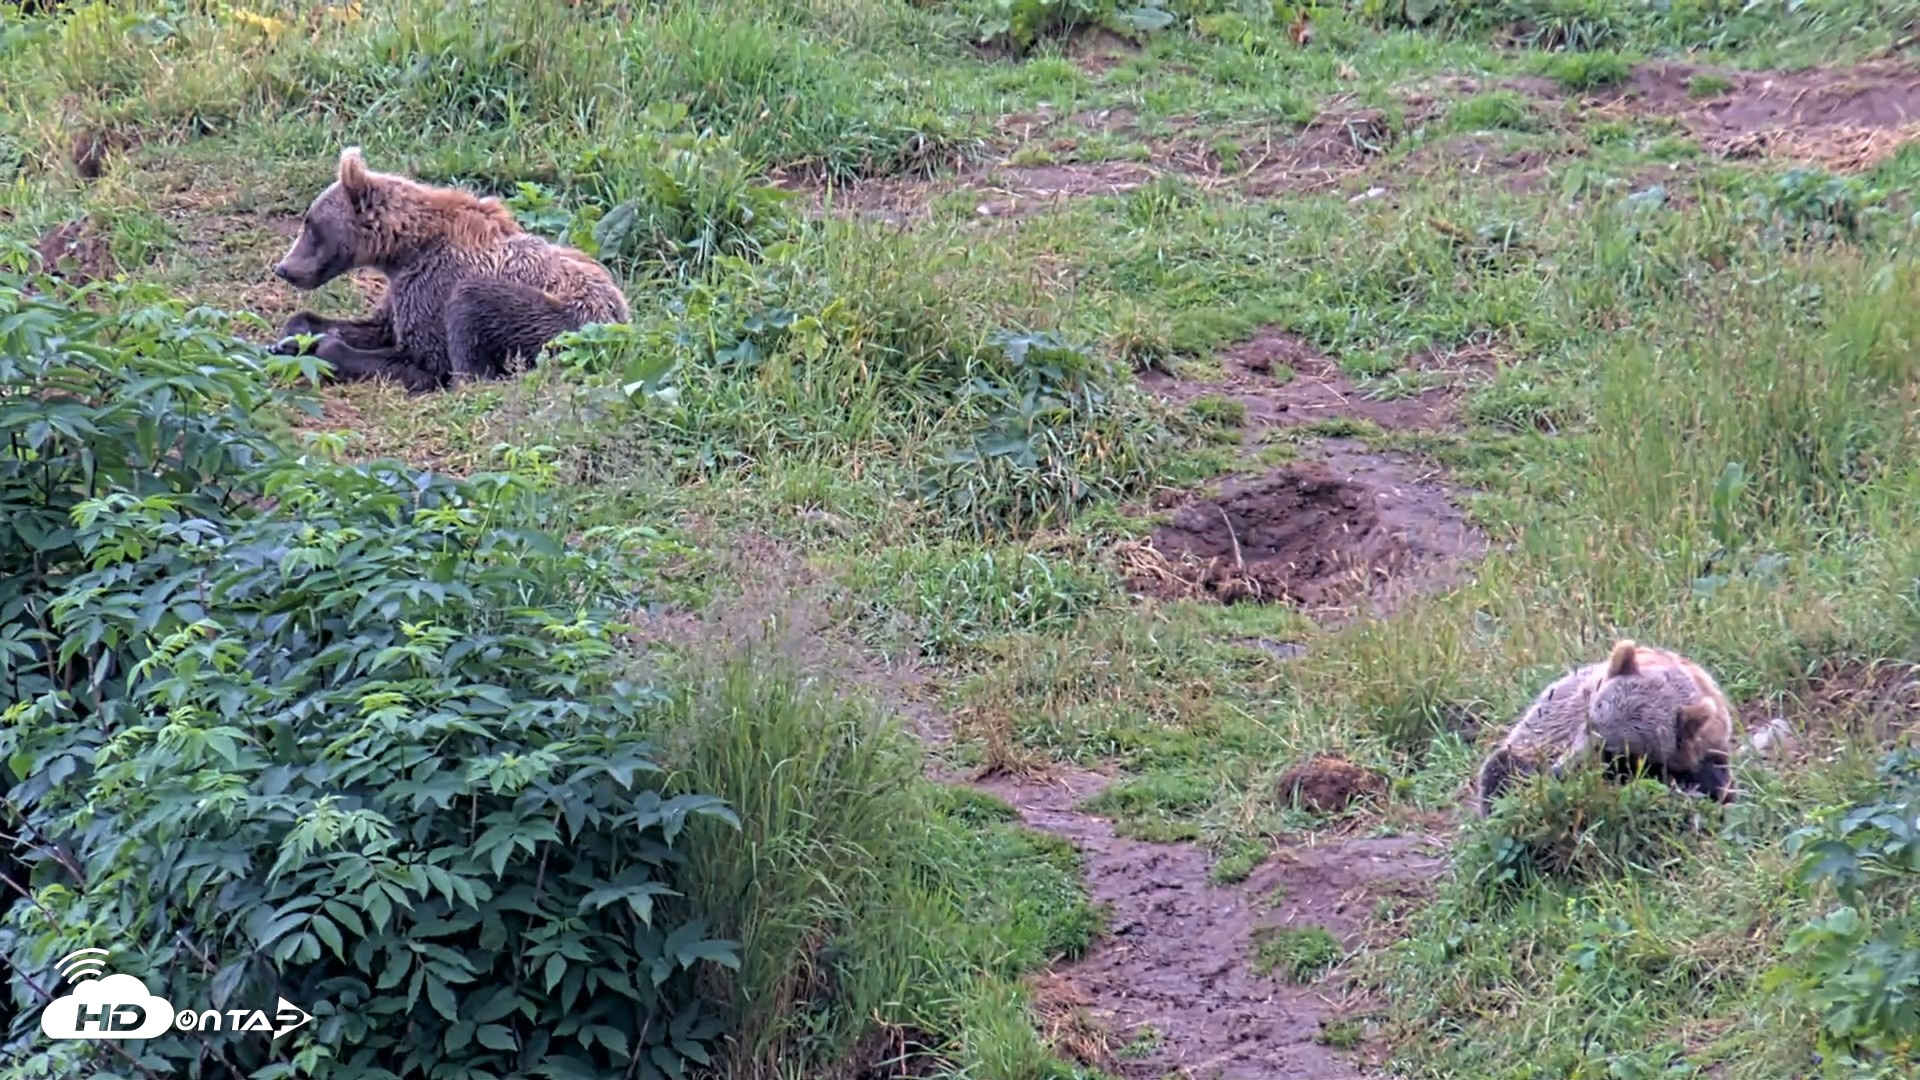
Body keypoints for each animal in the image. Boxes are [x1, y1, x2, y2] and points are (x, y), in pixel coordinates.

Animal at [270, 147, 630, 394]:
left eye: (310, 224)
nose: (283, 268)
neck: (403, 249)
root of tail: (620, 326)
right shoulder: (400, 291)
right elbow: (376, 325)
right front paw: (290, 340)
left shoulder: (432, 283)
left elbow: (427, 360)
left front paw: (326, 351)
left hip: (560, 323)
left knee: (473, 311)